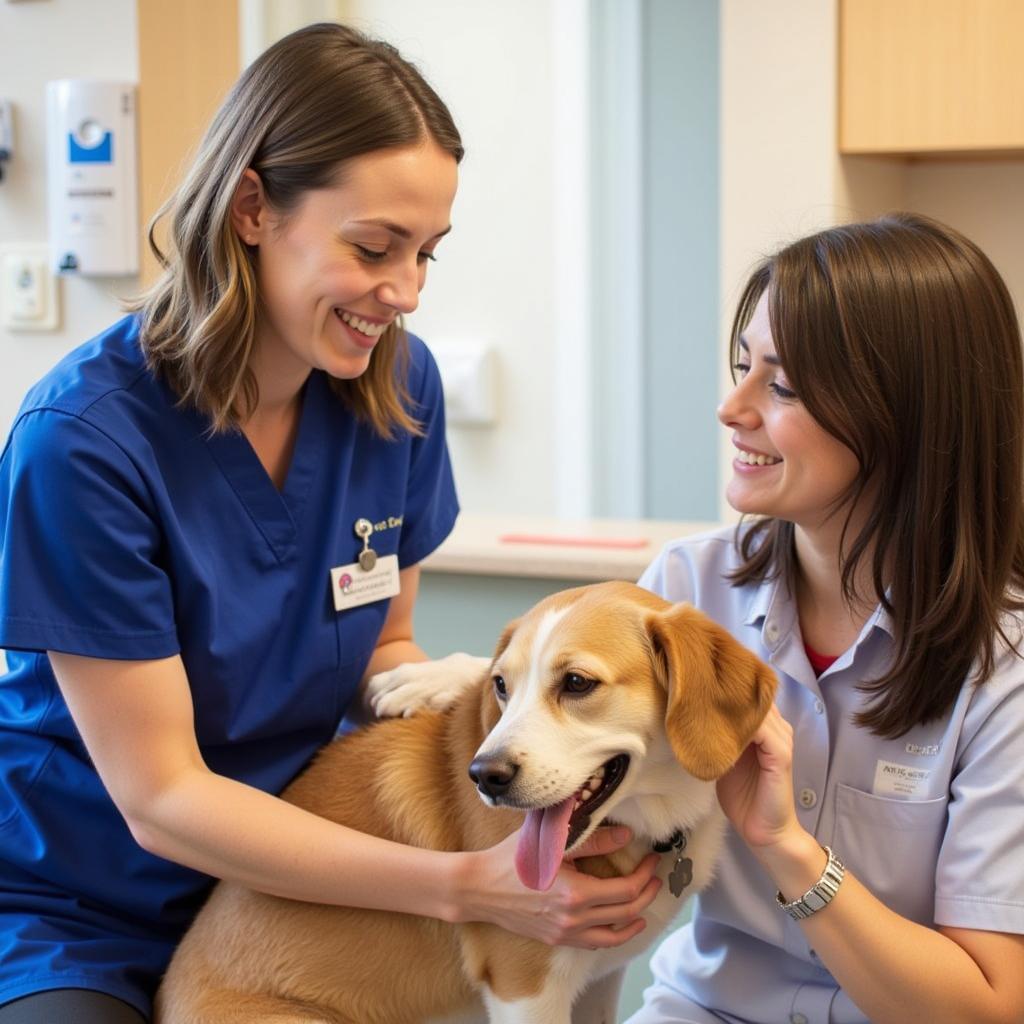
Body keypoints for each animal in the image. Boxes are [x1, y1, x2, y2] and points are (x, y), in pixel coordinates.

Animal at [153, 585, 774, 1024]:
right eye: (500, 685)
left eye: (576, 683)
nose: (486, 776)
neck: (652, 820)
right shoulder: (526, 991)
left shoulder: (598, 980)